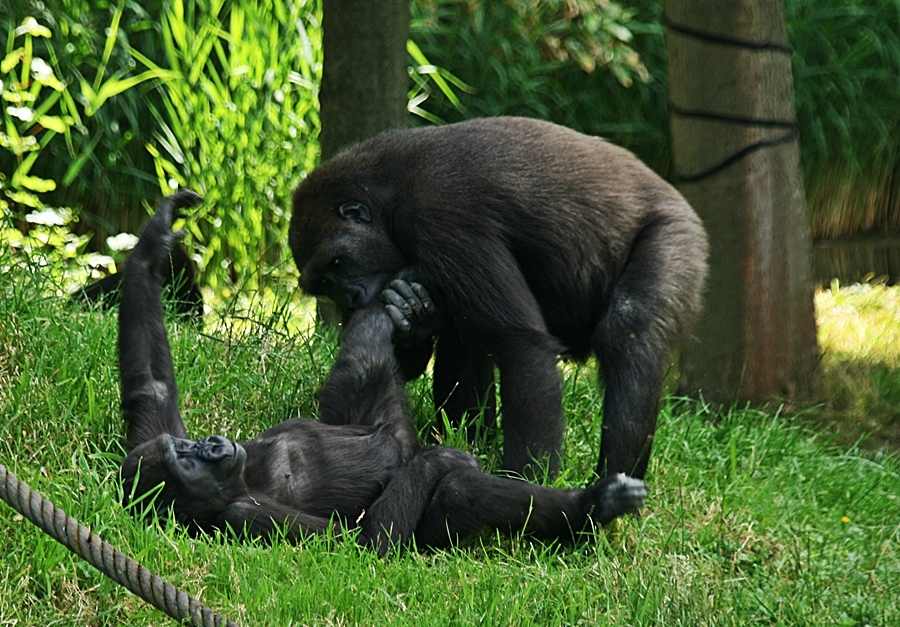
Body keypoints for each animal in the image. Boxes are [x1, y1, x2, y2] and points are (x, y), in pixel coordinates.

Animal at [119, 191, 648, 556]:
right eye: (187, 466)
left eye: (187, 446)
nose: (210, 446)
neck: (242, 474)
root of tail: (400, 437)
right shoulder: (244, 518)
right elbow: (365, 542)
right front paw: (442, 458)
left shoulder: (156, 425)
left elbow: (150, 384)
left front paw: (155, 239)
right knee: (457, 494)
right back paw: (592, 508)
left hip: (374, 415)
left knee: (364, 359)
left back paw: (403, 301)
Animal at [290, 116, 712, 480]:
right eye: (324, 283)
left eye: (338, 262)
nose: (352, 298)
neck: (387, 194)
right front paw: (411, 314)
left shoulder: (440, 214)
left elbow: (520, 346)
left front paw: (526, 484)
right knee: (463, 335)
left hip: (677, 232)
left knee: (629, 331)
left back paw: (614, 483)